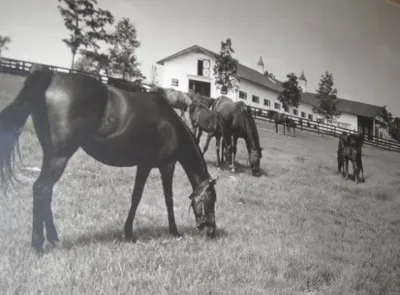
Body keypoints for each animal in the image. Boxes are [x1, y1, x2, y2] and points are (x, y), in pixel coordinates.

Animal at [0, 67, 219, 254]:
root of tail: (52, 77)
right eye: (211, 200)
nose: (212, 231)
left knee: (46, 193)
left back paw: (53, 238)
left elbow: (137, 197)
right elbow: (166, 199)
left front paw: (128, 233)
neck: (170, 125)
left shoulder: (145, 165)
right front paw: (173, 232)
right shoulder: (165, 166)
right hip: (58, 157)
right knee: (41, 189)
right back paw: (38, 245)